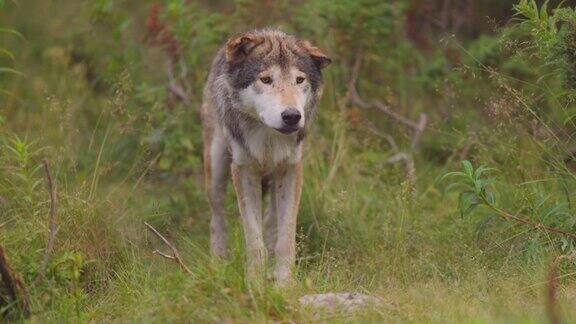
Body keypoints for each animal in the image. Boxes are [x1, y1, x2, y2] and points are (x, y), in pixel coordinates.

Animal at [200, 29, 330, 284]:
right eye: (266, 80)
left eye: (299, 80)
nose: (292, 116)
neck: (268, 140)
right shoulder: (244, 170)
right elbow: (254, 240)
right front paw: (255, 283)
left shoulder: (291, 169)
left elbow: (285, 239)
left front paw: (284, 283)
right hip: (216, 171)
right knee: (217, 217)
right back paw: (218, 263)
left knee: (271, 221)